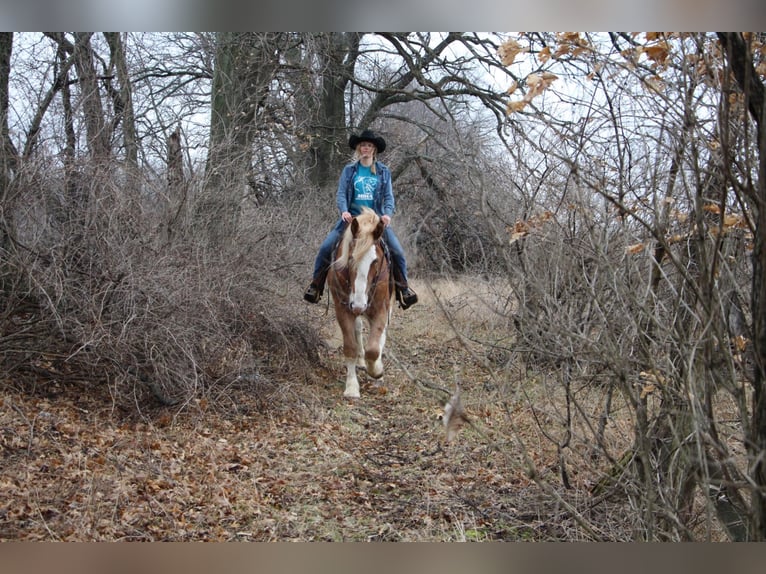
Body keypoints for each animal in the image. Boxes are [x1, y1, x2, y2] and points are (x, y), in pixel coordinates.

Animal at [328, 207, 396, 400]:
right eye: (350, 257)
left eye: (375, 261)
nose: (358, 305)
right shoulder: (343, 309)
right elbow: (350, 347)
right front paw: (351, 387)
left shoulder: (381, 309)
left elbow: (373, 348)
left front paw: (377, 371)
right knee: (358, 329)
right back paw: (361, 360)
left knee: (382, 334)